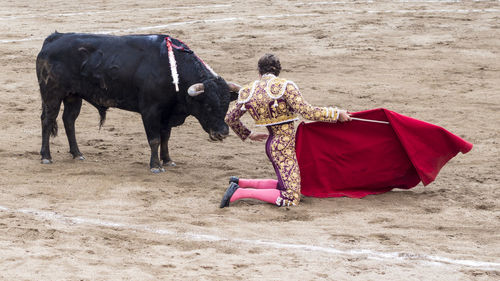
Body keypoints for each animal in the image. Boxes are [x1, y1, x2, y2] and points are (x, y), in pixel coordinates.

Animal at [35, 33, 238, 173]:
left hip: (73, 96)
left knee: (69, 120)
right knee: (47, 120)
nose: (222, 133)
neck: (173, 72)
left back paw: (77, 153)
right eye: (208, 106)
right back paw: (46, 156)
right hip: (52, 95)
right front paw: (155, 166)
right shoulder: (150, 111)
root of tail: (54, 38)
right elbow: (154, 139)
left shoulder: (167, 113)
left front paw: (167, 160)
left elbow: (165, 137)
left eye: (226, 106)